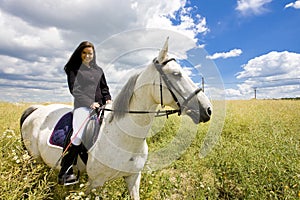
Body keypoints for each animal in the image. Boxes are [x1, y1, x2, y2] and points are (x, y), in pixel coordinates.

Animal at [19, 38, 212, 200]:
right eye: (176, 74)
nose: (207, 109)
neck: (123, 138)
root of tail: (36, 109)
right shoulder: (95, 185)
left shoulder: (133, 177)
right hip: (35, 160)